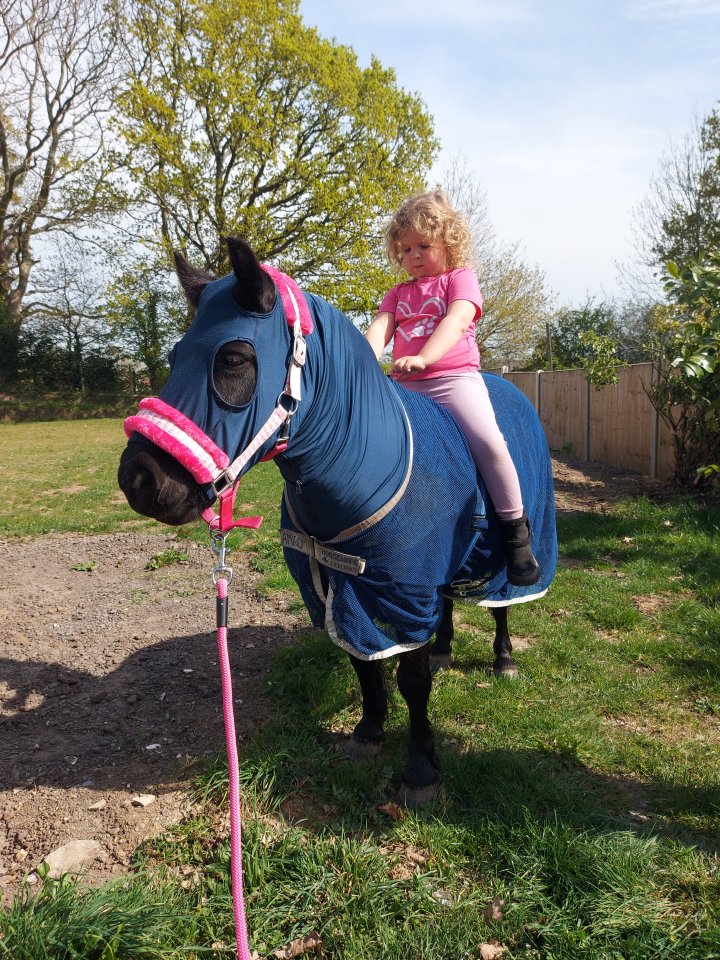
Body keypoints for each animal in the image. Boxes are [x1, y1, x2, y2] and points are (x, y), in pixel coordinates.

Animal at [118, 237, 557, 806]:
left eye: (233, 358)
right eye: (174, 356)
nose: (138, 480)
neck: (367, 466)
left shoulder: (399, 592)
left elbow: (412, 683)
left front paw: (421, 769)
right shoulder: (336, 587)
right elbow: (362, 663)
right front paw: (368, 733)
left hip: (510, 550)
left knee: (503, 602)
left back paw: (504, 657)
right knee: (446, 605)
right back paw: (444, 648)